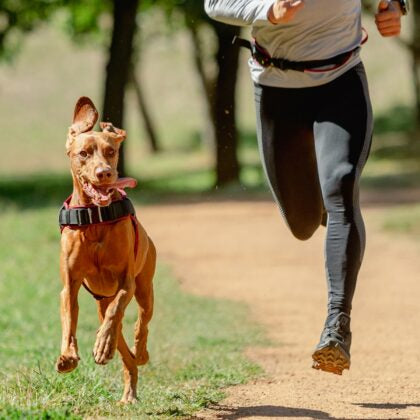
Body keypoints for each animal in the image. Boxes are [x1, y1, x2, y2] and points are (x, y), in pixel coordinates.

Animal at [55, 96, 155, 404]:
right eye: (84, 153)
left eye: (111, 151)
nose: (104, 173)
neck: (94, 219)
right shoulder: (70, 286)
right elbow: (69, 322)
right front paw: (67, 356)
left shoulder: (126, 281)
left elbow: (117, 310)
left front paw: (101, 346)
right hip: (101, 301)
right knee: (124, 351)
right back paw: (128, 387)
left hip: (145, 288)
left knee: (138, 323)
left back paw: (135, 351)